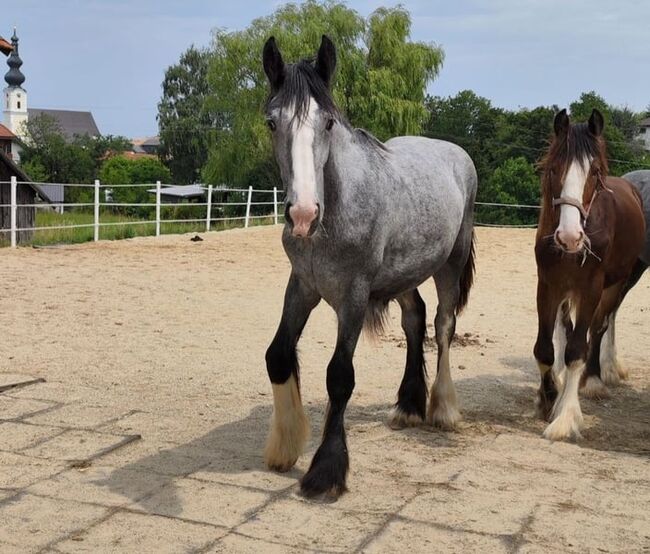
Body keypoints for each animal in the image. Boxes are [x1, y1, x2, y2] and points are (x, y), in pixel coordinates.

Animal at [260, 36, 476, 498]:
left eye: (327, 123)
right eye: (272, 123)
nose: (303, 215)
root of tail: (454, 153)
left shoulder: (353, 296)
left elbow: (340, 375)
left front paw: (326, 471)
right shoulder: (303, 285)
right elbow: (278, 355)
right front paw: (286, 445)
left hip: (450, 263)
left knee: (444, 326)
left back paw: (443, 408)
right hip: (404, 273)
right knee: (415, 319)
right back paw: (408, 405)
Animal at [532, 108, 644, 438]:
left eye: (594, 173)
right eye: (554, 168)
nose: (570, 237)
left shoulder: (591, 289)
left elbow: (577, 350)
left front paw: (566, 416)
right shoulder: (548, 286)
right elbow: (545, 349)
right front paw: (549, 397)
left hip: (618, 285)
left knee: (599, 326)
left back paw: (594, 378)